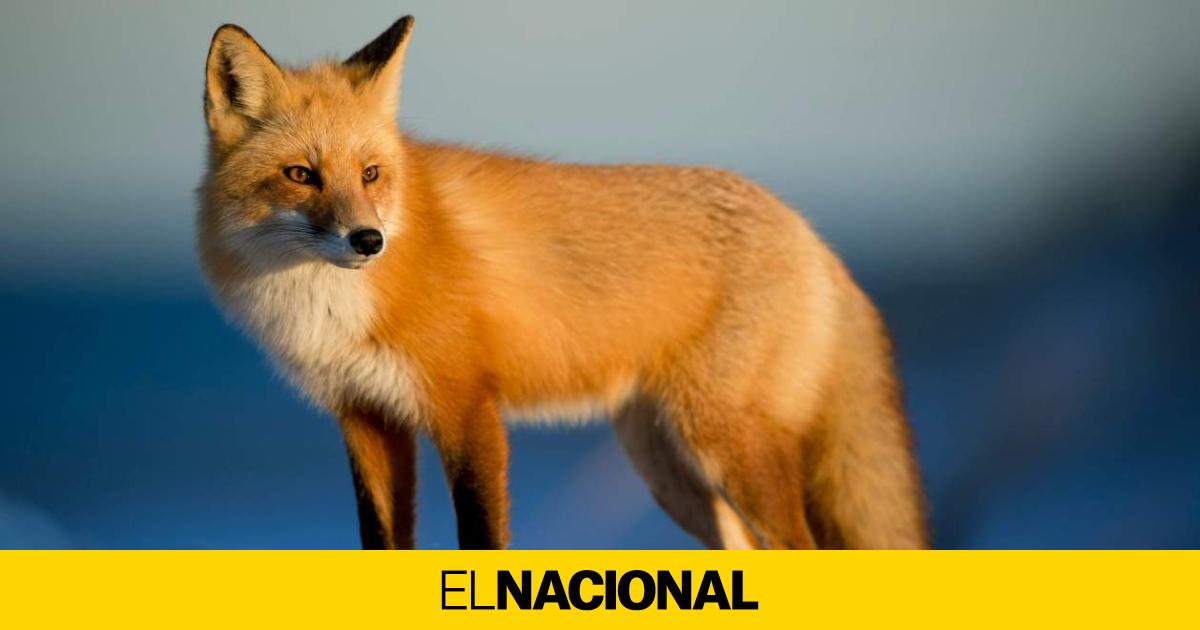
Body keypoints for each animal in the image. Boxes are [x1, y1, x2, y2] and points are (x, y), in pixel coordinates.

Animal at [196, 15, 927, 550]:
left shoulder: (467, 408)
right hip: (668, 467)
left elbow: (481, 540)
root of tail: (809, 232)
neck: (332, 310)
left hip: (726, 447)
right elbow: (382, 544)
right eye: (301, 175)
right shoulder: (366, 419)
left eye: (371, 174)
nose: (368, 240)